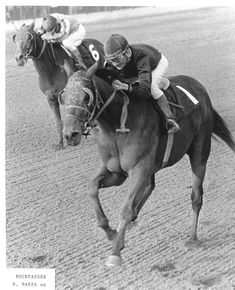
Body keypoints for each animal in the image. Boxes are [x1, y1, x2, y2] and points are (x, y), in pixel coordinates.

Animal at [13, 21, 103, 150]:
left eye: (29, 37)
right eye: (15, 38)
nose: (19, 58)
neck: (52, 70)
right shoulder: (51, 99)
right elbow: (59, 122)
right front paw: (60, 144)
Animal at [59, 63, 235, 268]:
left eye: (86, 97)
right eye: (63, 97)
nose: (70, 135)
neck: (116, 125)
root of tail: (199, 87)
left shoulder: (138, 169)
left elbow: (126, 209)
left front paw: (115, 252)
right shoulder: (116, 171)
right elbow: (92, 187)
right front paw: (111, 231)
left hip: (199, 152)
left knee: (196, 197)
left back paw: (192, 238)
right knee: (150, 186)